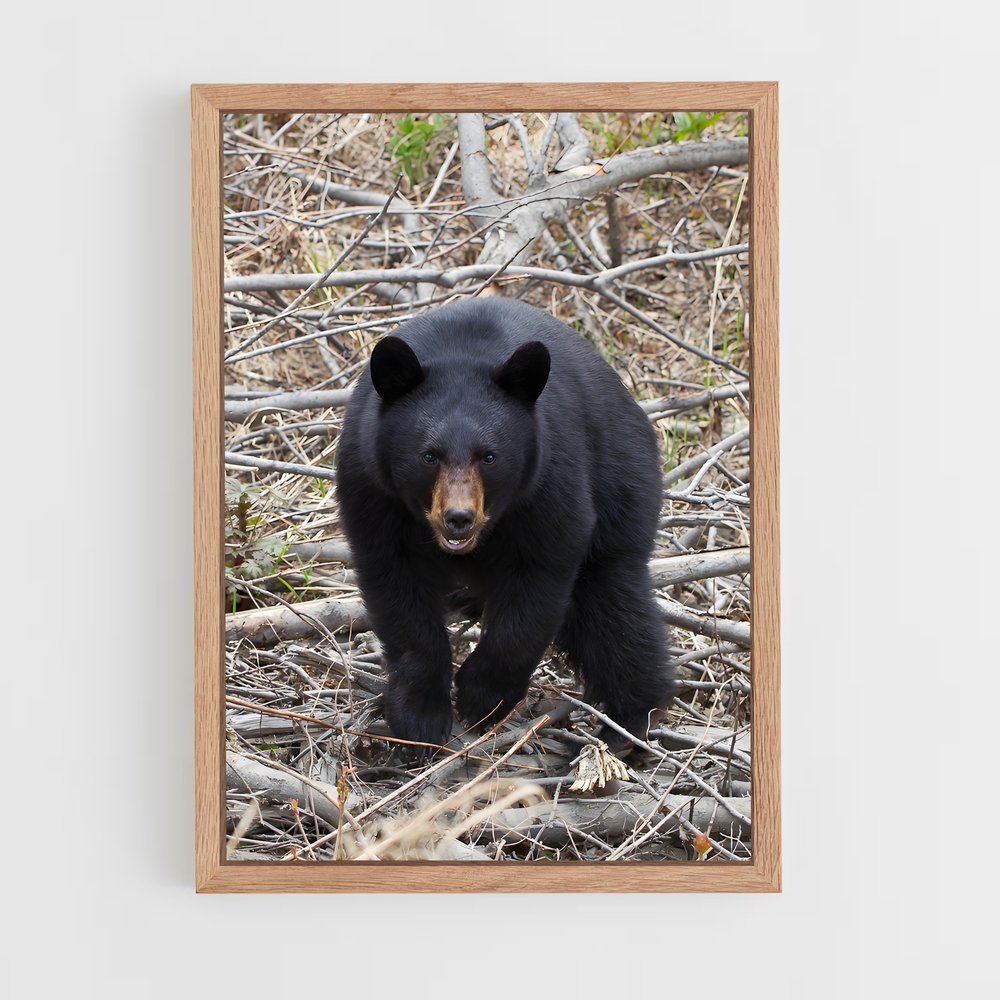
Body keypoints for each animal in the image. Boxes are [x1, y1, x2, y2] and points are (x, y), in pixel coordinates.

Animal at [335, 296, 673, 753]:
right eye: (428, 455)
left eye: (489, 456)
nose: (458, 518)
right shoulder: (371, 486)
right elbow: (398, 590)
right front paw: (420, 716)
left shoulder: (548, 479)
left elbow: (537, 581)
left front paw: (483, 697)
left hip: (622, 478)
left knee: (614, 604)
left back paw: (628, 724)